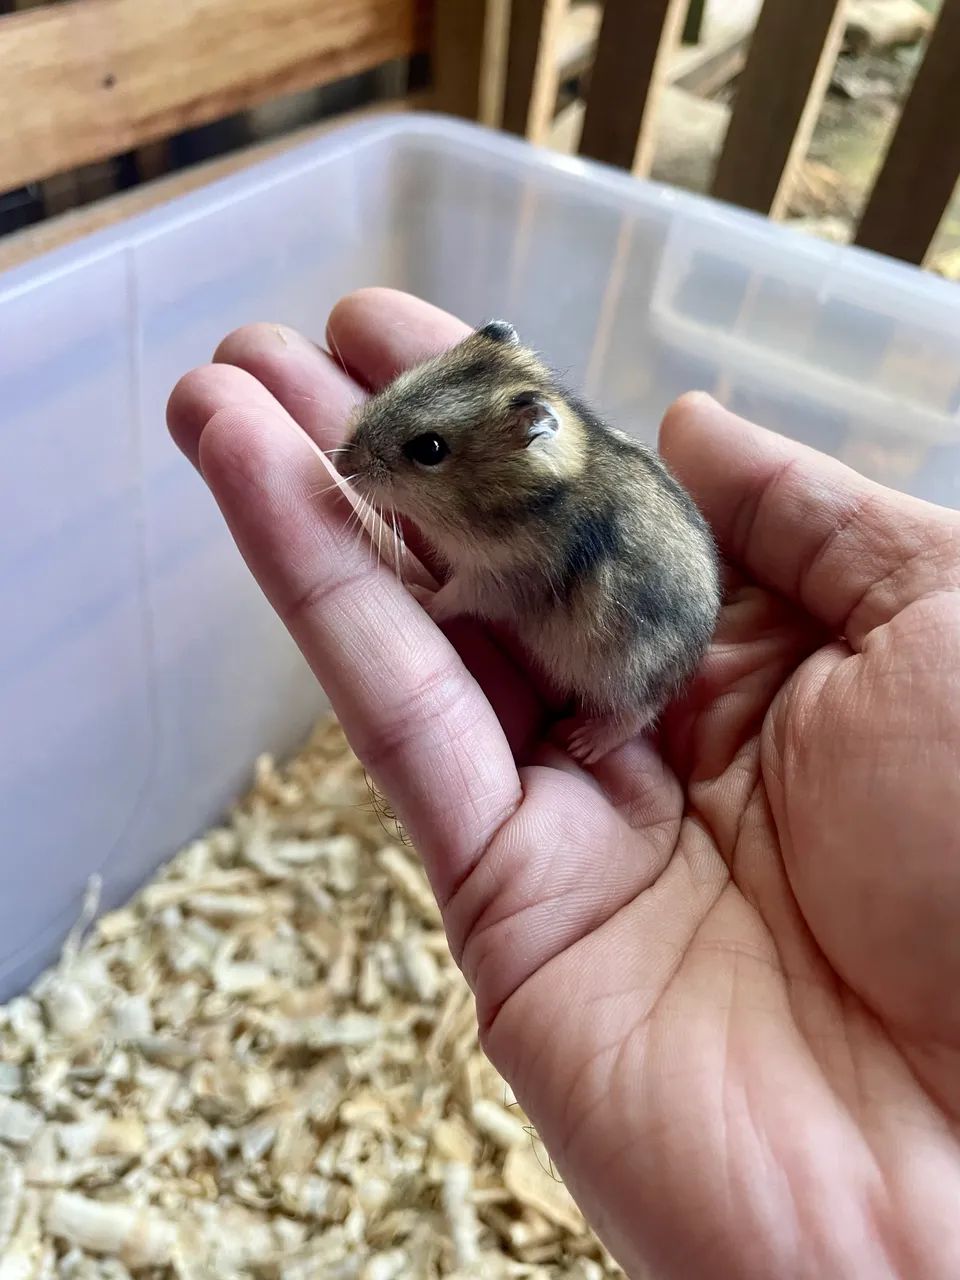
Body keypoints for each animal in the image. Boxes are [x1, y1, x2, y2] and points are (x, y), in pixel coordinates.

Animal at [337, 320, 720, 763]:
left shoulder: (500, 579)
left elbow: (451, 597)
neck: (526, 498)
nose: (339, 464)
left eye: (429, 449)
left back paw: (585, 744)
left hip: (626, 670)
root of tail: (694, 661)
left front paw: (417, 592)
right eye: (400, 381)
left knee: (638, 714)